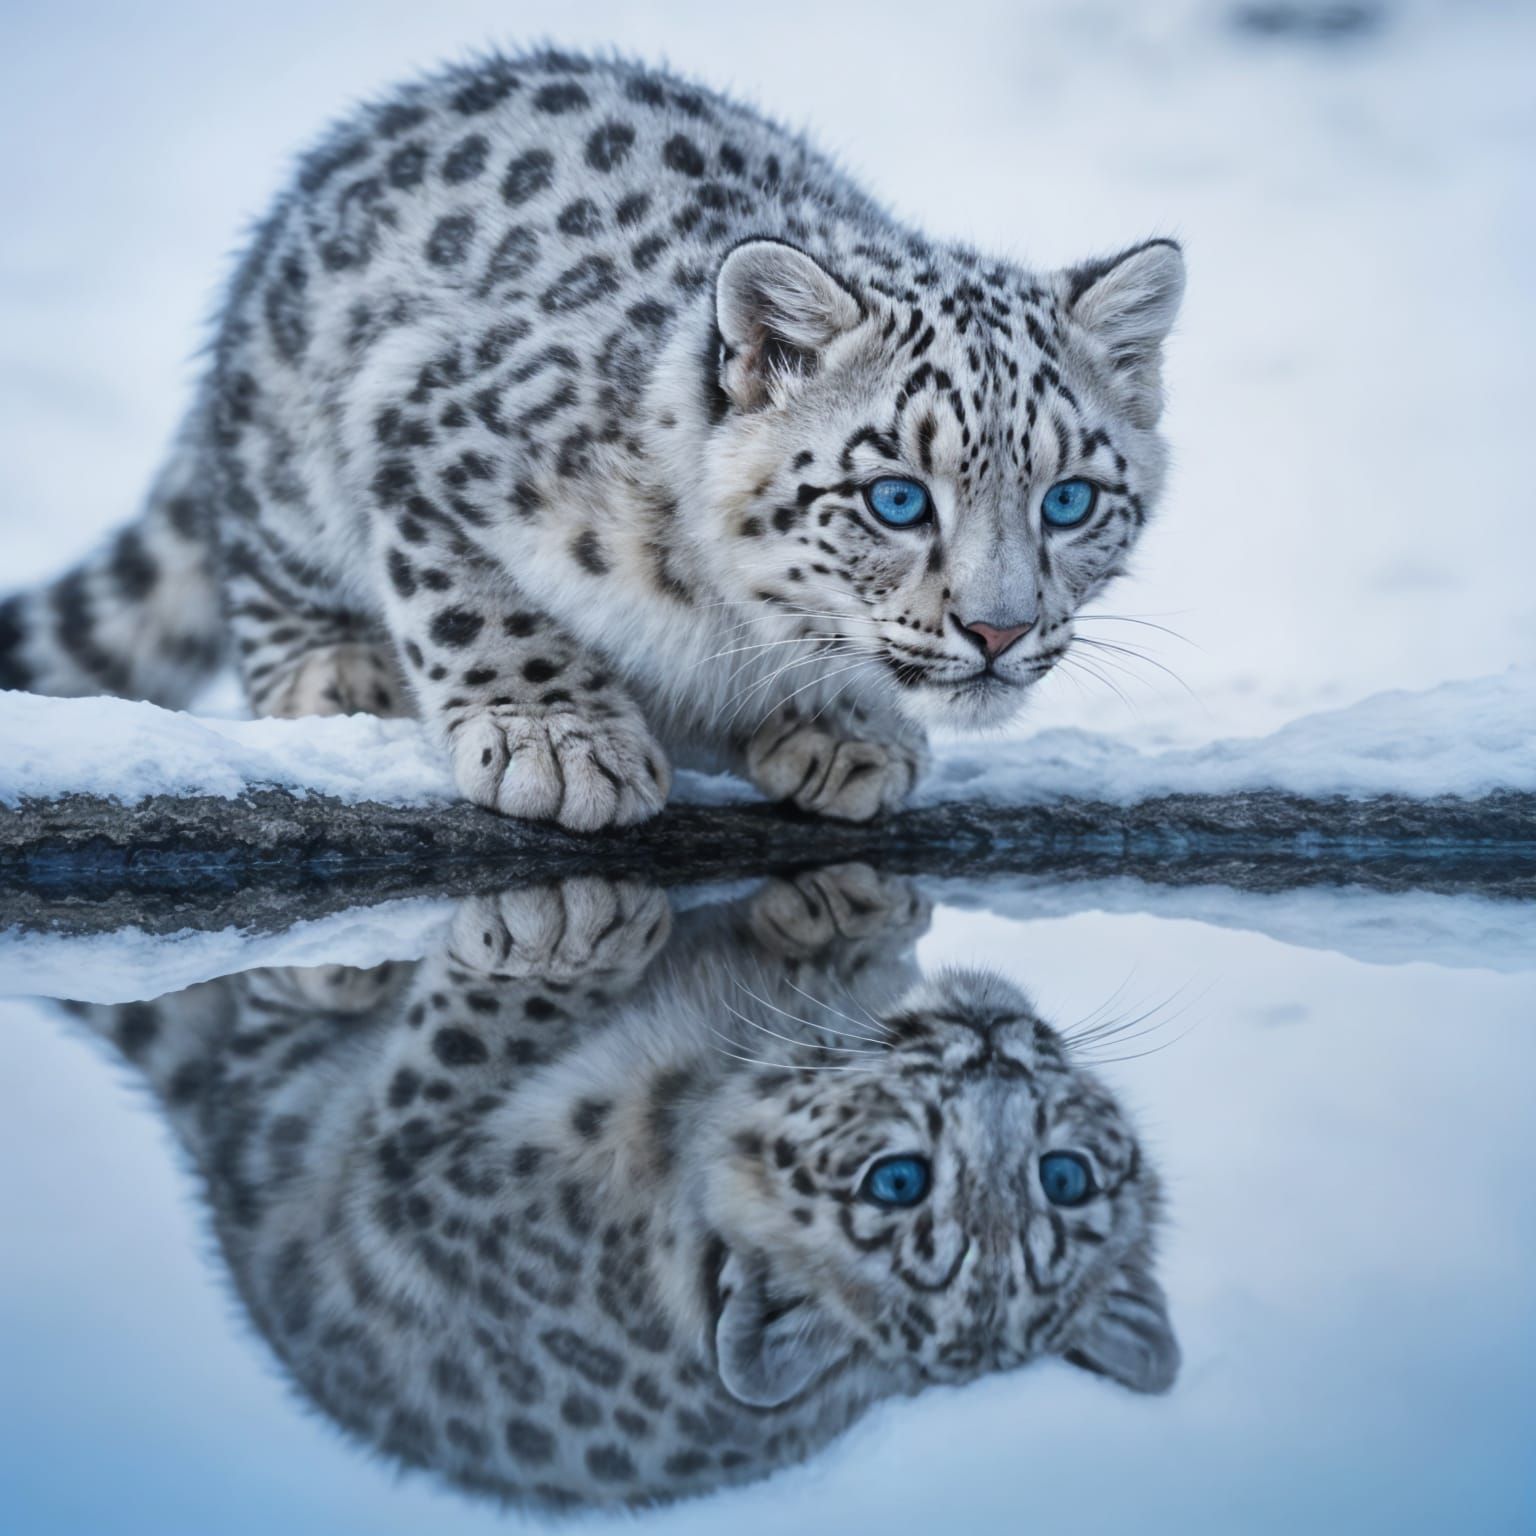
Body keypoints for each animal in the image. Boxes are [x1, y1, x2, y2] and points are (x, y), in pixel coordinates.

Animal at [0, 48, 1186, 828]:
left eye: (1069, 498)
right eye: (895, 496)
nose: (997, 630)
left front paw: (847, 729)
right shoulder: (420, 429)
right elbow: (475, 603)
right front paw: (557, 741)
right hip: (285, 444)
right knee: (258, 548)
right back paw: (333, 669)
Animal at [64, 867, 1178, 1512]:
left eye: (895, 1181)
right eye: (1069, 1177)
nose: (996, 1054)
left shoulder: (417, 1157)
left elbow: (464, 1039)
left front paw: (562, 931)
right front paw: (846, 913)